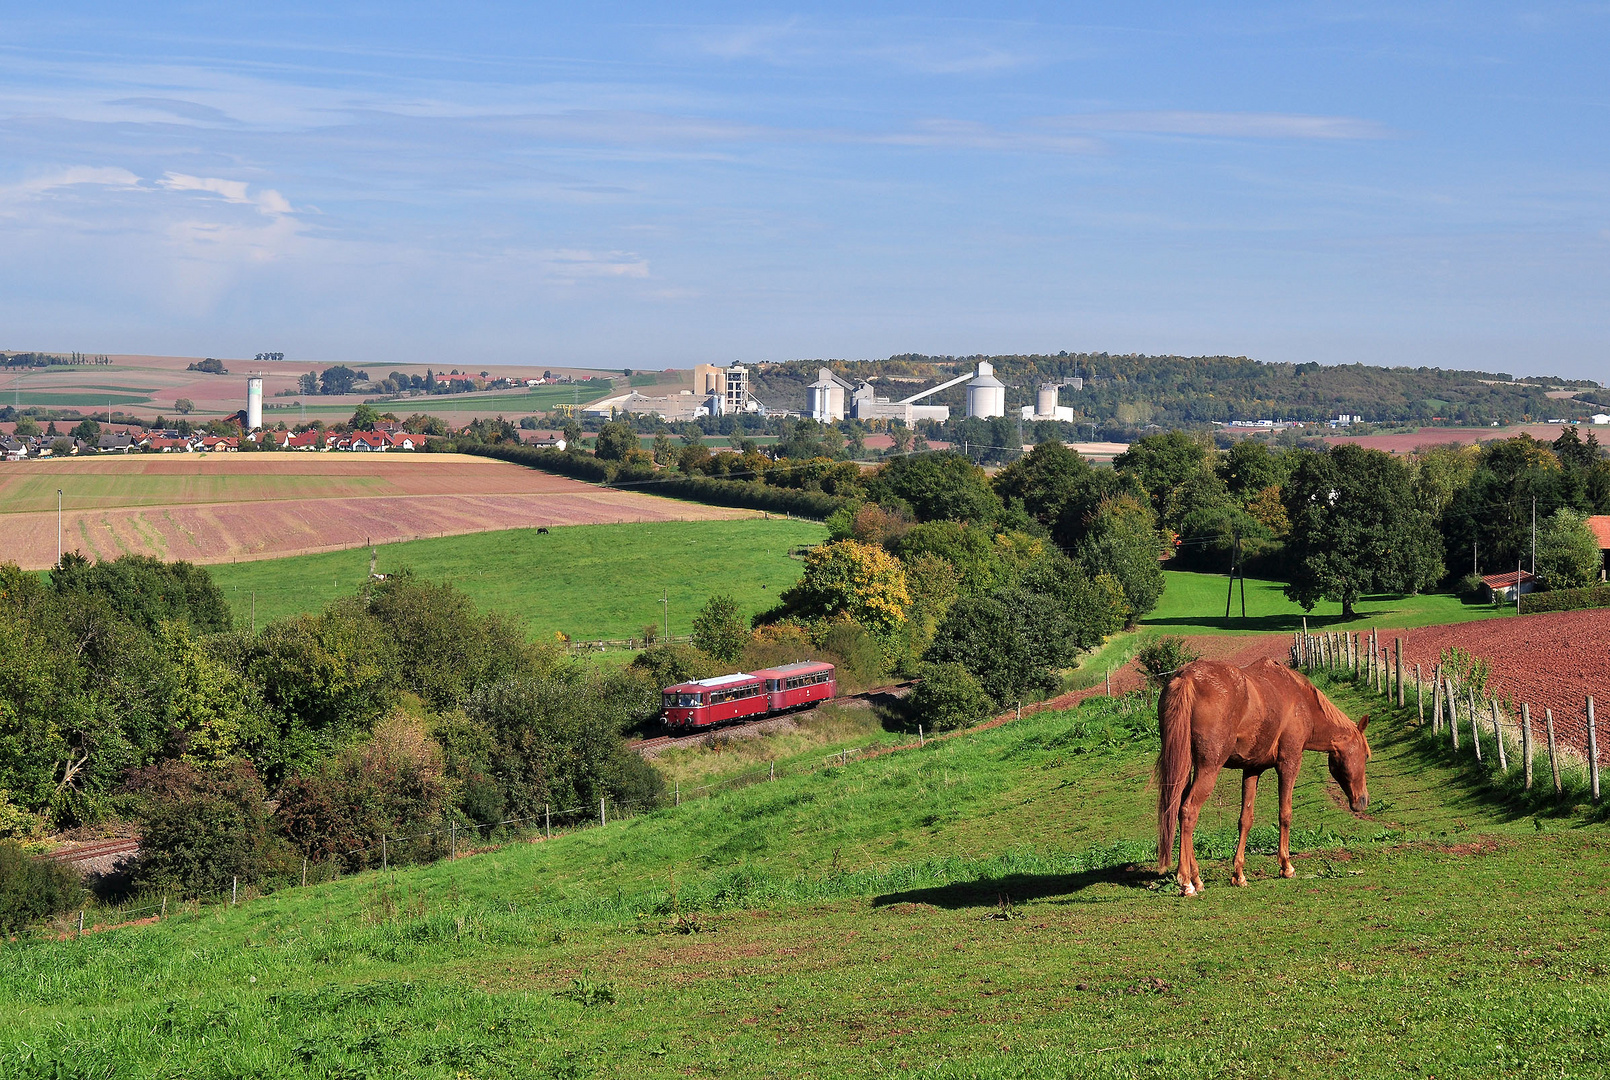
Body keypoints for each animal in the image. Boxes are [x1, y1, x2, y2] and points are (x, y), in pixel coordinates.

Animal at [1159, 659, 1371, 894]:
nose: (1363, 800)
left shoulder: (1252, 769)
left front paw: (1239, 874)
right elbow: (1285, 814)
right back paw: (1187, 882)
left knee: (1180, 810)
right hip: (1208, 768)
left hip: (1185, 767)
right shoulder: (1289, 763)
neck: (1300, 699)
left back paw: (1196, 878)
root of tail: (1186, 678)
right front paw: (1286, 866)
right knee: (1189, 811)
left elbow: (1246, 819)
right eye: (1365, 755)